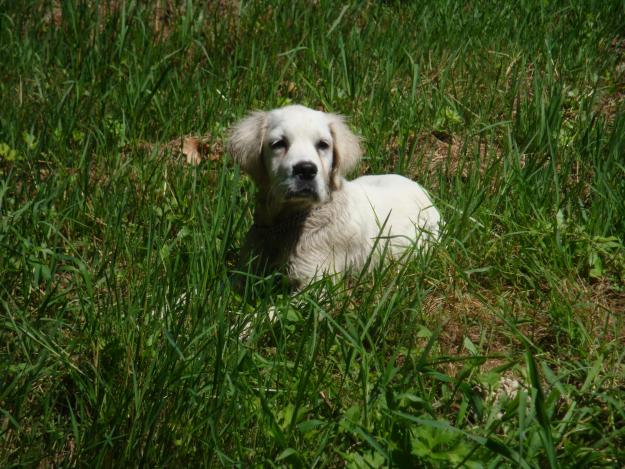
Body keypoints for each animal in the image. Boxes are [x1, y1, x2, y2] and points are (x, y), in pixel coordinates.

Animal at [228, 104, 438, 288]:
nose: (306, 170)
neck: (286, 224)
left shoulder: (316, 284)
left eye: (323, 145)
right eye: (279, 144)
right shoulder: (246, 266)